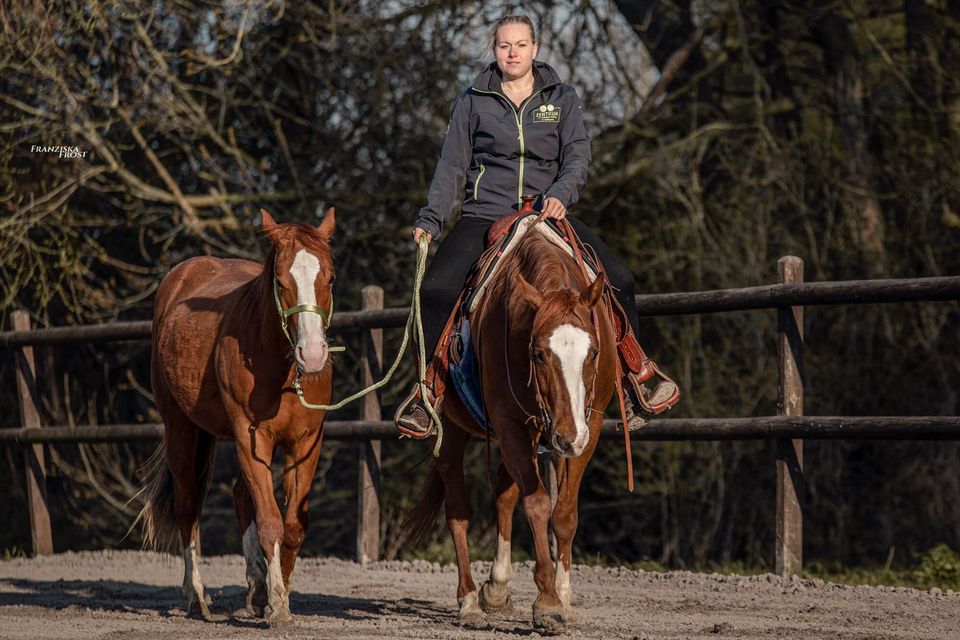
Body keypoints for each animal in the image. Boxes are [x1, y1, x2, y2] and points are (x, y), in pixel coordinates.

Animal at [135, 209, 338, 624]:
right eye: (281, 282)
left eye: (329, 278)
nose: (312, 354)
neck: (280, 369)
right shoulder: (250, 436)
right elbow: (271, 522)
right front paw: (279, 606)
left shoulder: (305, 443)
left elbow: (293, 525)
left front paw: (278, 593)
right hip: (181, 428)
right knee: (188, 504)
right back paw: (197, 596)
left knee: (241, 496)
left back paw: (256, 589)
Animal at [404, 228, 616, 632]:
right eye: (539, 354)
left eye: (594, 352)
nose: (568, 436)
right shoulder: (510, 424)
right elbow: (538, 504)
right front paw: (547, 602)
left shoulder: (588, 426)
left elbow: (563, 513)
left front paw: (563, 597)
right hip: (452, 433)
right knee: (459, 510)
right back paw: (470, 601)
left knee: (504, 494)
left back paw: (497, 587)